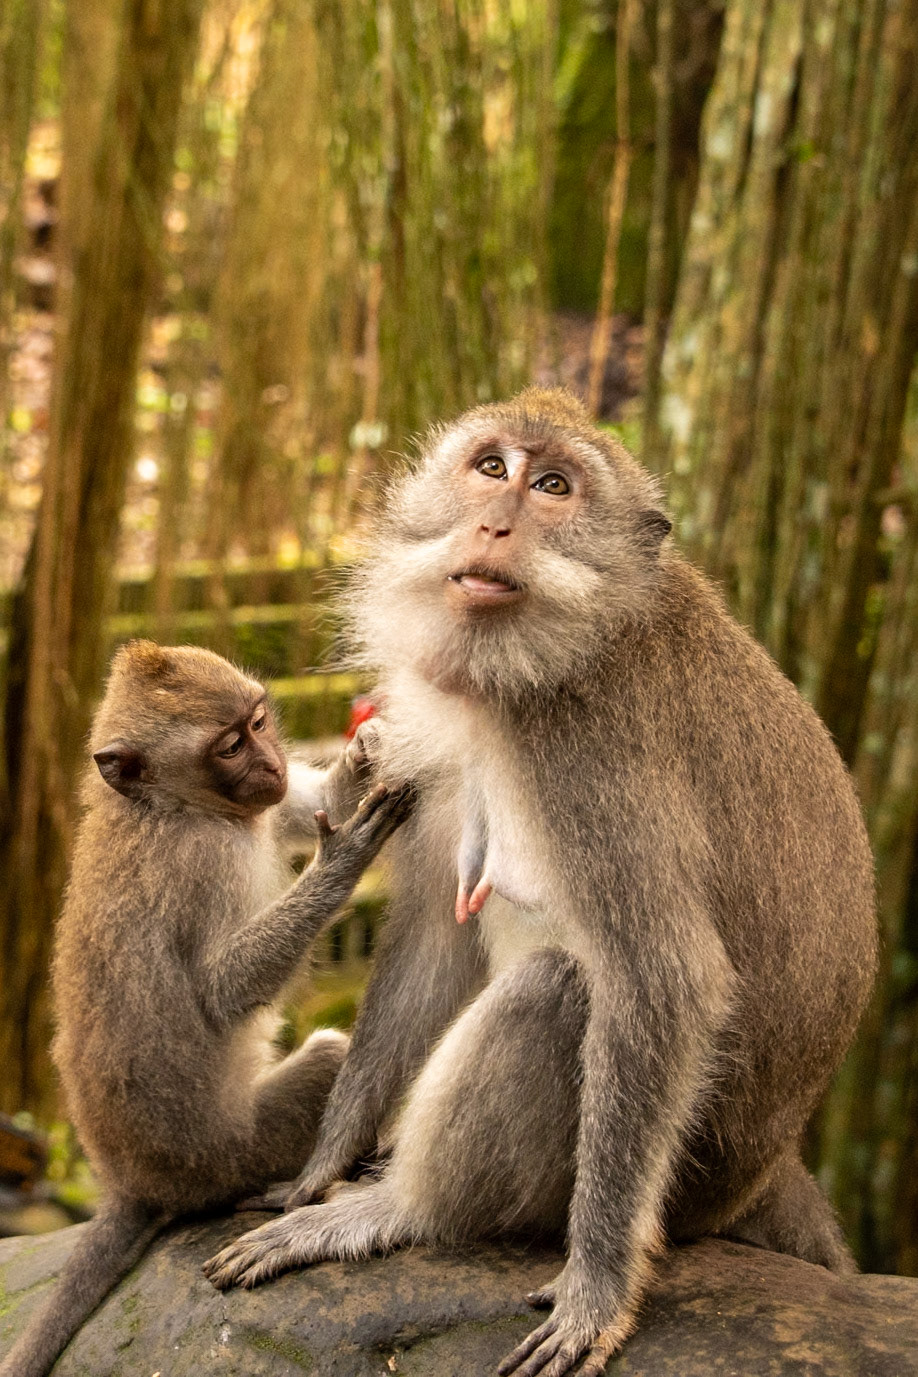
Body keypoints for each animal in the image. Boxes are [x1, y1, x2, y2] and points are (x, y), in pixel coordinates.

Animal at [0, 641, 413, 1377]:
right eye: (228, 746)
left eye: (257, 722)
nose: (272, 765)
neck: (167, 807)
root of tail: (137, 1184)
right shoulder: (201, 863)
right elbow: (222, 993)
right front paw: (343, 858)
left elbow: (306, 804)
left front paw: (368, 749)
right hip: (235, 1153)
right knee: (324, 1060)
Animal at [204, 388, 877, 1377]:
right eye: (492, 467)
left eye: (554, 486)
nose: (495, 521)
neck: (531, 667)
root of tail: (770, 1165)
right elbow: (434, 937)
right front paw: (321, 1164)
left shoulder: (590, 754)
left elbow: (664, 981)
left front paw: (597, 1290)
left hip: (679, 1184)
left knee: (558, 989)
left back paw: (402, 1210)